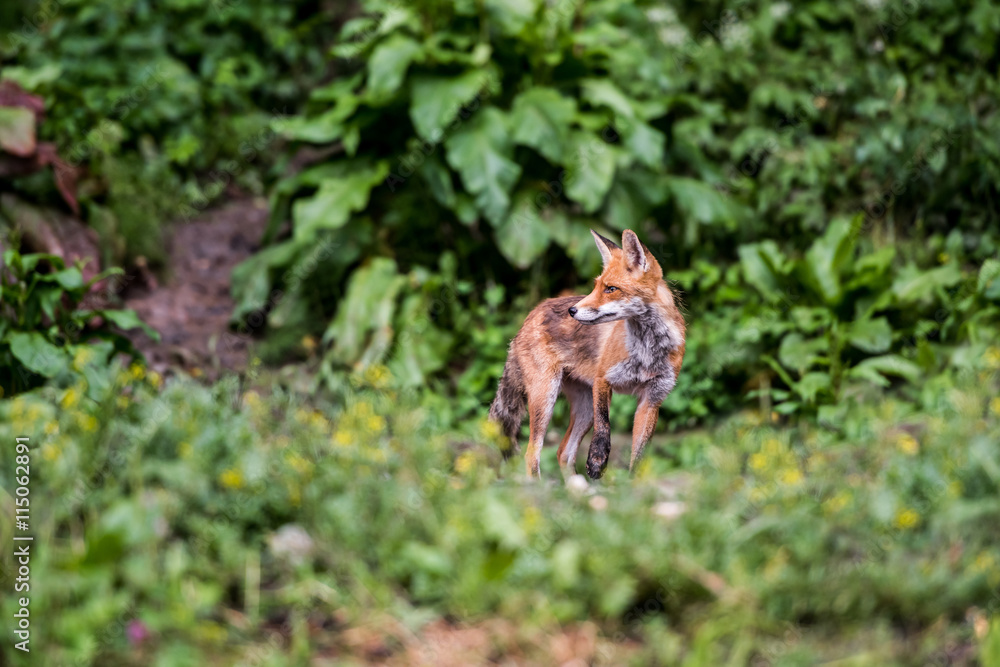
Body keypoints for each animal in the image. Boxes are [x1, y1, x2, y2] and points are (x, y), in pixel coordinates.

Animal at [490, 230, 688, 480]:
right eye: (596, 286)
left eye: (611, 289)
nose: (572, 310)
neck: (646, 351)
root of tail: (532, 313)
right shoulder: (603, 380)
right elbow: (604, 425)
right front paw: (597, 460)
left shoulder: (652, 398)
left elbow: (639, 459)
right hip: (546, 397)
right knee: (531, 455)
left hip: (583, 407)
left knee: (563, 452)